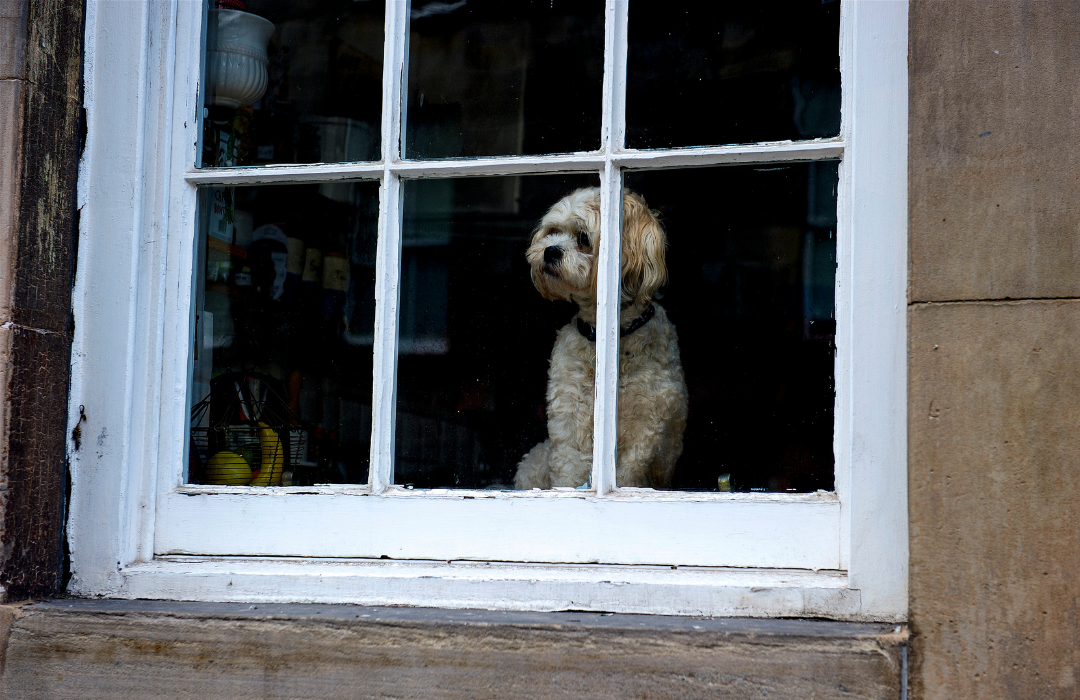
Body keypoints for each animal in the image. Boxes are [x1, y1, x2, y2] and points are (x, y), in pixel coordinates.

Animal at [511, 189, 682, 490]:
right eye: (553, 232)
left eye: (583, 238)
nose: (550, 250)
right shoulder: (569, 412)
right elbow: (569, 467)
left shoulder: (645, 425)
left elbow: (627, 471)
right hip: (536, 460)